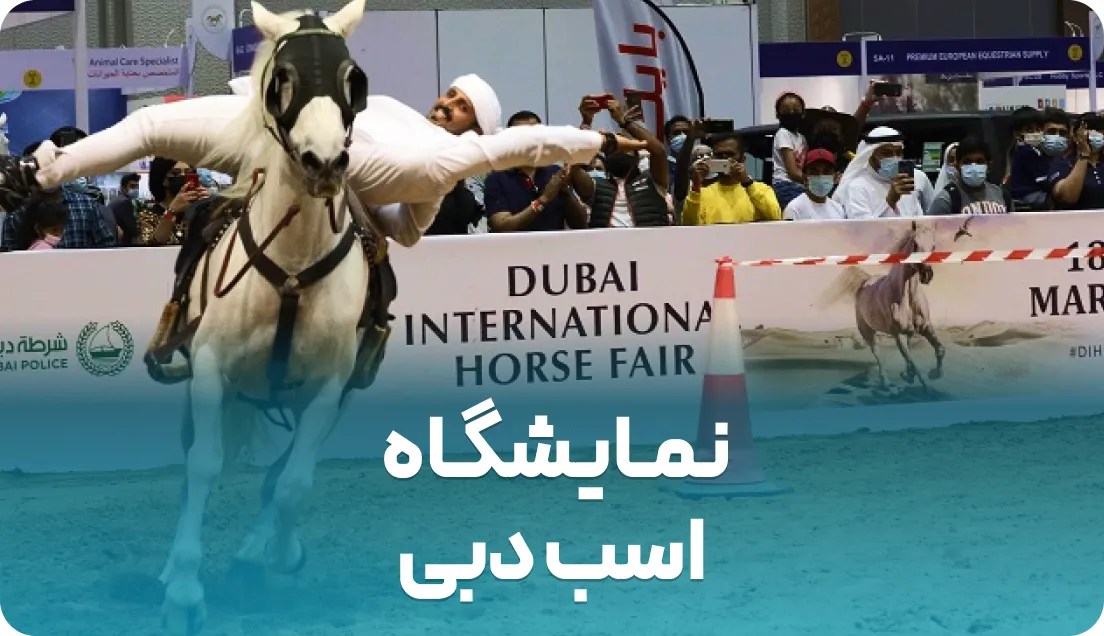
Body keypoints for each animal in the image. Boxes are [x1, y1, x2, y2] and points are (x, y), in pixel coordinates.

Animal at [154, 1, 375, 633]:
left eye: (353, 78)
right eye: (283, 78)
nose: (325, 162)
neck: (293, 269)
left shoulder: (330, 387)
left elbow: (294, 483)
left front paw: (273, 551)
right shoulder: (209, 371)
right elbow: (204, 466)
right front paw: (183, 592)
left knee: (283, 474)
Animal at [817, 220, 946, 393]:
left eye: (933, 246)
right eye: (915, 244)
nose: (927, 274)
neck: (906, 298)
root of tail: (866, 282)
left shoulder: (925, 327)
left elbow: (939, 350)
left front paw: (934, 374)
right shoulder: (898, 335)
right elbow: (913, 363)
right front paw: (927, 388)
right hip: (868, 332)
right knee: (878, 354)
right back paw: (886, 384)